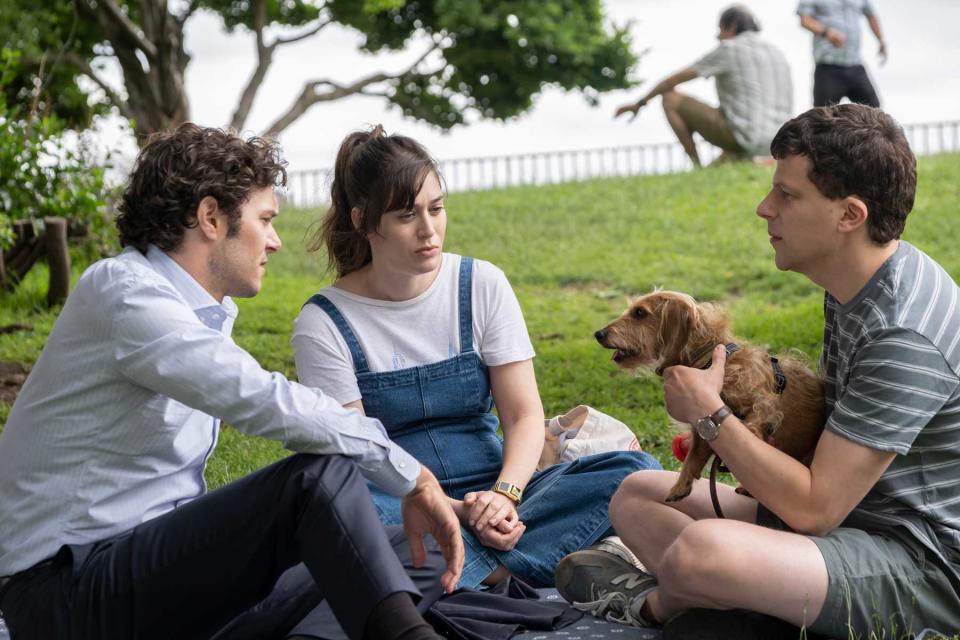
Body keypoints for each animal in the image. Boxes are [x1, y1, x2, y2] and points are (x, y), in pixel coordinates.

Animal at [592, 290, 824, 504]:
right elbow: (692, 460)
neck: (708, 358)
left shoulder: (764, 405)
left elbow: (751, 428)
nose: (598, 334)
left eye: (640, 312)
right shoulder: (701, 426)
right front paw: (679, 487)